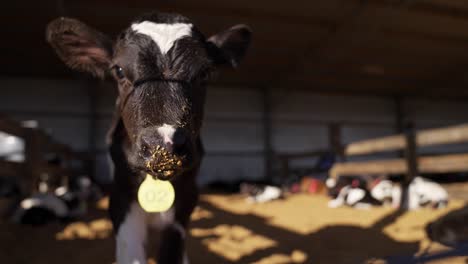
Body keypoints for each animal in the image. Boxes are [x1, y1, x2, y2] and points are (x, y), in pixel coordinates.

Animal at [46, 11, 252, 264]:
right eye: (119, 70)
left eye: (204, 73)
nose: (163, 144)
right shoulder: (120, 196)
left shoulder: (187, 197)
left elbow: (172, 252)